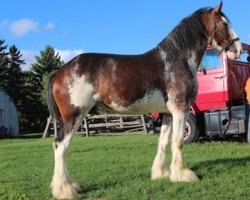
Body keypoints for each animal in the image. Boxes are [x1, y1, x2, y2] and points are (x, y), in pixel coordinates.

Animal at [47, 2, 241, 199]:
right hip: (74, 116)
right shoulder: (181, 109)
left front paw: (161, 173)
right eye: (225, 24)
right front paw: (183, 175)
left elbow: (164, 141)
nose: (238, 49)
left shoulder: (167, 112)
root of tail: (58, 73)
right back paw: (65, 189)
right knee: (60, 146)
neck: (177, 60)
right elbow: (178, 141)